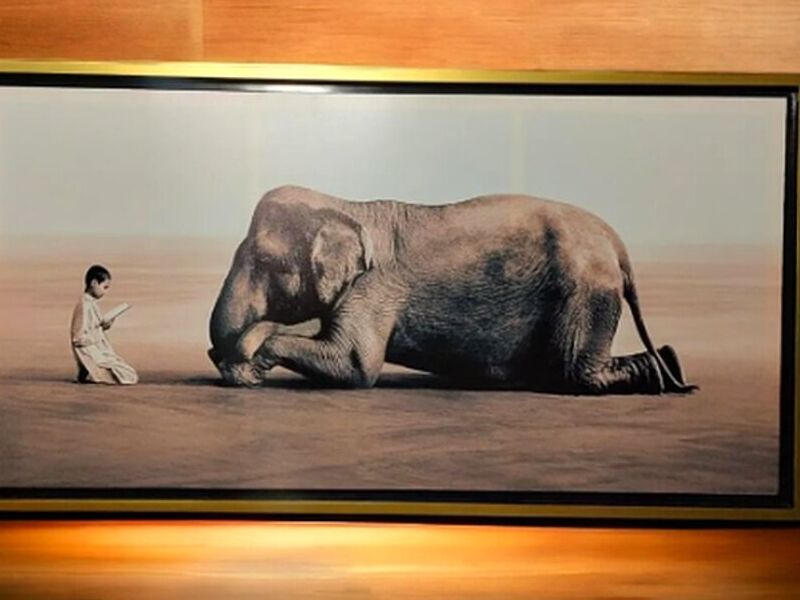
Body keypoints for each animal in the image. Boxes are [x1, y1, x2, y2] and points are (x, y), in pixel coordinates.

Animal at [208, 185, 696, 395]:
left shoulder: (376, 287)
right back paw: (669, 365)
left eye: (266, 263)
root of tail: (616, 243)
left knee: (574, 372)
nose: (218, 356)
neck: (349, 207)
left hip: (586, 289)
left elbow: (356, 366)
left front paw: (249, 362)